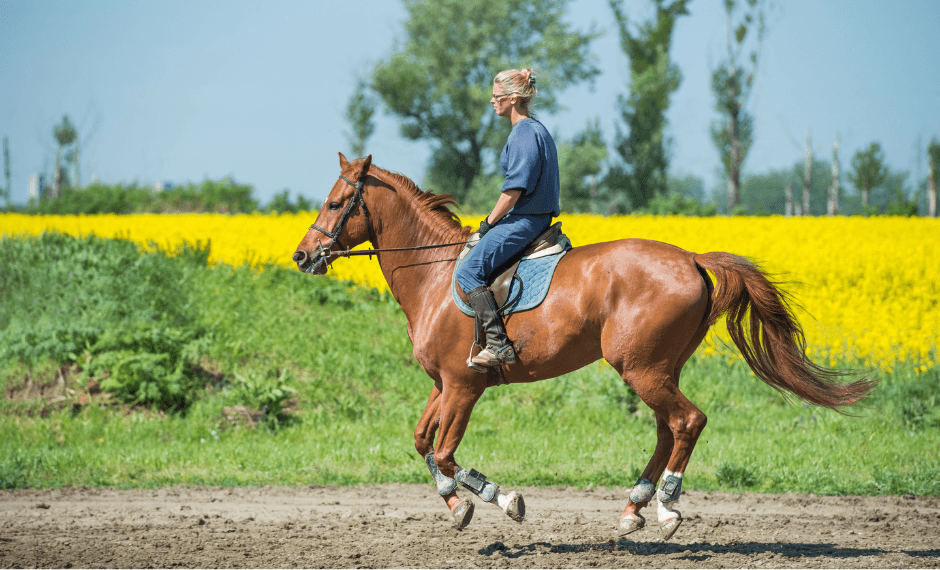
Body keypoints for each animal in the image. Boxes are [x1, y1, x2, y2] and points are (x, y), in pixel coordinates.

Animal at [293, 153, 876, 539]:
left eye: (337, 203)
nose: (302, 256)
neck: (436, 275)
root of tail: (691, 258)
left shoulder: (463, 385)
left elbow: (445, 451)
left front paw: (500, 500)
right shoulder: (444, 384)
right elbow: (421, 443)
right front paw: (457, 505)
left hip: (640, 368)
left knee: (686, 422)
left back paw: (666, 508)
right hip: (656, 368)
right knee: (667, 428)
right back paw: (633, 509)